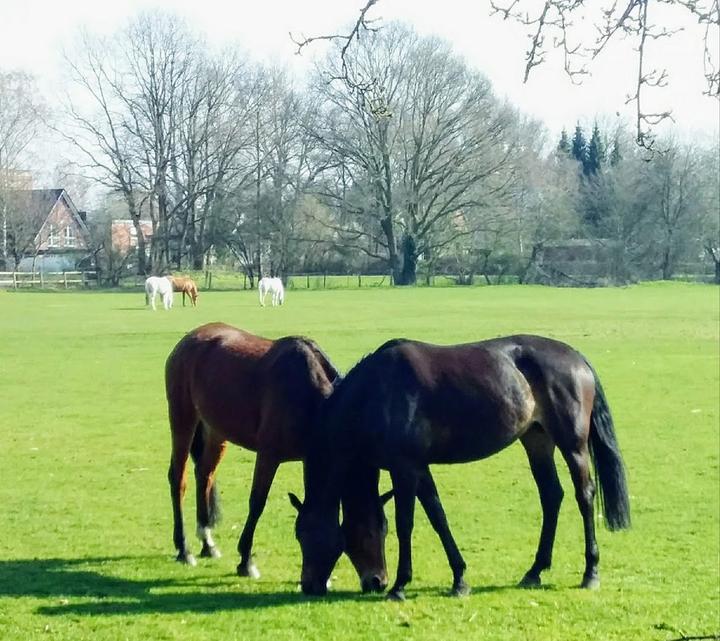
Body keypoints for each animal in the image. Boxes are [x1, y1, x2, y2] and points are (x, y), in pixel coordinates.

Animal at [165, 322, 390, 592]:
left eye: (385, 529)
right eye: (365, 533)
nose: (378, 581)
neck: (312, 400)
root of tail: (189, 339)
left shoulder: (309, 456)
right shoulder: (268, 455)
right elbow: (257, 503)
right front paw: (246, 561)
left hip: (216, 430)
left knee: (205, 474)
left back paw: (208, 543)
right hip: (183, 418)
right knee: (179, 479)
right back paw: (184, 548)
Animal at [292, 336, 632, 600]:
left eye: (306, 534)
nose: (308, 585)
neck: (375, 393)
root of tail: (576, 357)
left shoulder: (404, 469)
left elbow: (406, 524)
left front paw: (400, 586)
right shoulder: (419, 468)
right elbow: (438, 517)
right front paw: (459, 579)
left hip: (572, 445)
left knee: (584, 497)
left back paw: (590, 572)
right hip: (537, 440)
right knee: (551, 496)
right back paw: (534, 571)